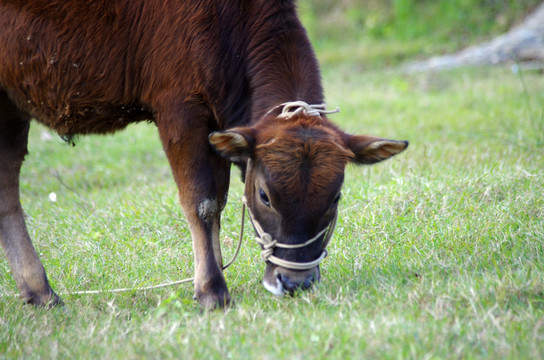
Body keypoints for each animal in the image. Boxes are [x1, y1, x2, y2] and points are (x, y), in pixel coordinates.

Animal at [0, 0, 406, 310]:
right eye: (265, 196)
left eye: (335, 197)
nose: (295, 282)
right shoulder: (178, 109)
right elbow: (203, 201)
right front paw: (212, 289)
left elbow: (219, 200)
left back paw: (38, 291)